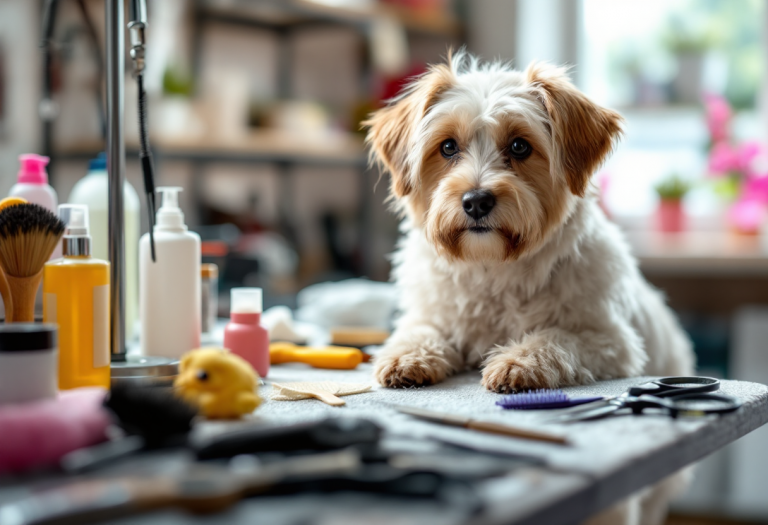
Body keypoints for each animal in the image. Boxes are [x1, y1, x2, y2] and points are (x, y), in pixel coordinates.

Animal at [366, 50, 696, 524]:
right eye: (447, 147)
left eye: (520, 146)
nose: (476, 201)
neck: (493, 269)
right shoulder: (428, 315)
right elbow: (417, 332)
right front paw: (407, 358)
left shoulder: (613, 343)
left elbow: (556, 337)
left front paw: (518, 362)